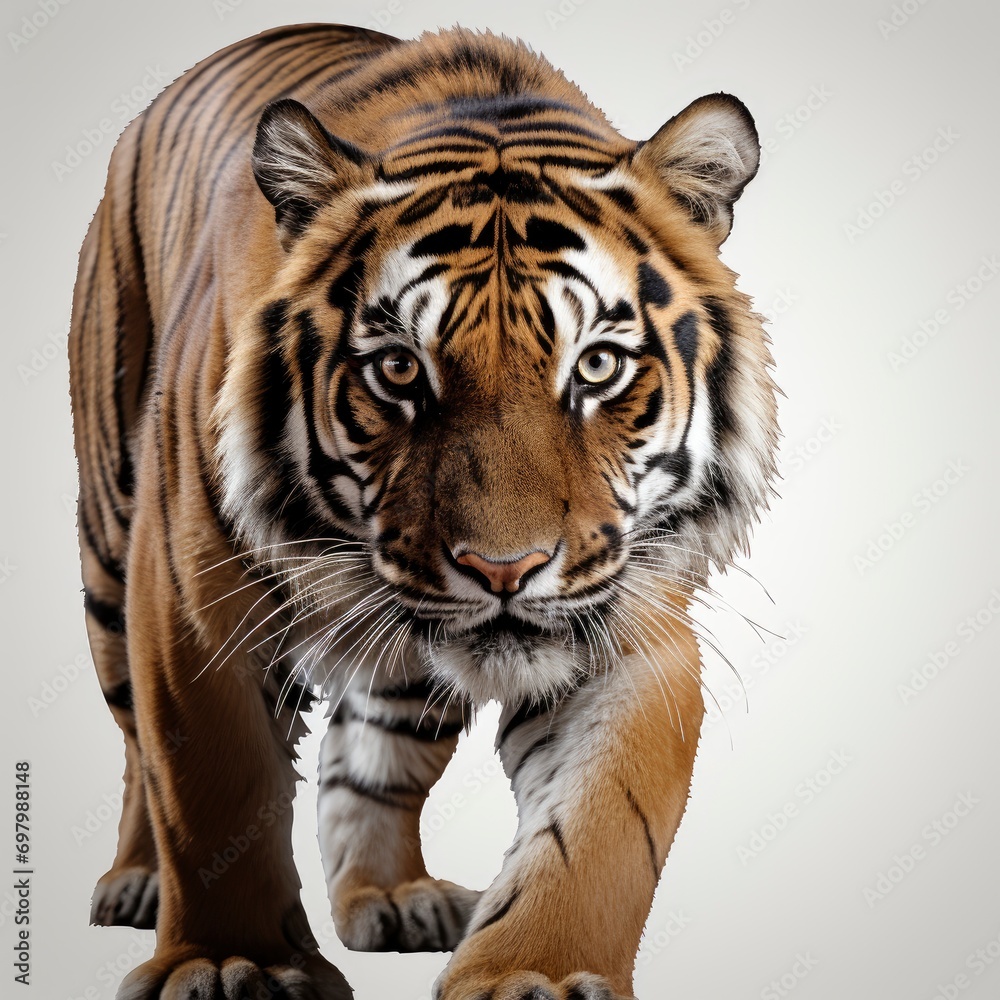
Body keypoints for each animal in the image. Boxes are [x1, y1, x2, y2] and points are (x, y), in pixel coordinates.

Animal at [69, 21, 777, 1000]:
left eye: (597, 366)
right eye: (399, 369)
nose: (505, 571)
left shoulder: (631, 620)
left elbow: (602, 828)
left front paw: (534, 973)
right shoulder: (189, 599)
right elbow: (211, 787)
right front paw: (230, 959)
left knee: (373, 751)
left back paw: (393, 894)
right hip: (109, 550)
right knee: (138, 744)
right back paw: (138, 880)